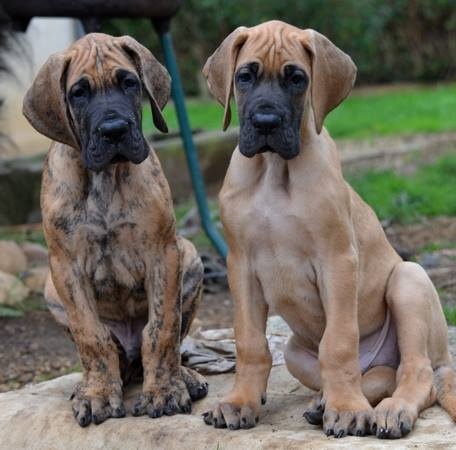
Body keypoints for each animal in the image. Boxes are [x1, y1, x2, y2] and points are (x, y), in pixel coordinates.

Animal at [21, 33, 207, 428]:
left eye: (129, 83)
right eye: (79, 93)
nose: (114, 130)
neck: (105, 177)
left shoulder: (162, 254)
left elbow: (162, 330)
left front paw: (164, 391)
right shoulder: (66, 267)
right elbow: (91, 336)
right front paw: (97, 395)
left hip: (191, 257)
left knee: (166, 343)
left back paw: (183, 376)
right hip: (49, 289)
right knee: (114, 355)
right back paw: (93, 383)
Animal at [201, 21, 456, 440]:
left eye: (297, 79)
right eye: (244, 77)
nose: (266, 123)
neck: (275, 170)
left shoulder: (337, 261)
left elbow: (338, 344)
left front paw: (348, 410)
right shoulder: (240, 266)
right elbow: (250, 343)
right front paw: (240, 402)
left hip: (409, 281)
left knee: (414, 372)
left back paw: (388, 410)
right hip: (294, 352)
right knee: (378, 374)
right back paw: (324, 402)